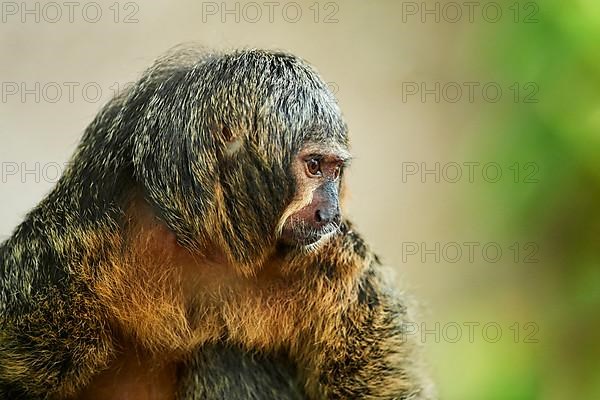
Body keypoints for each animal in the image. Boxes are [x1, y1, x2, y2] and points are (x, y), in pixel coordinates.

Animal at [0, 47, 434, 400]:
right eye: (314, 167)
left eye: (335, 171)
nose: (331, 212)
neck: (212, 244)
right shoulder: (66, 251)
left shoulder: (340, 263)